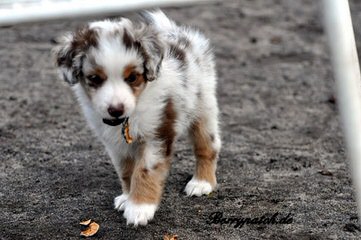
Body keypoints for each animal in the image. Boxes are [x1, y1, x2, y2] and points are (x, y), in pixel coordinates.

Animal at [52, 10, 219, 226]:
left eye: (132, 77)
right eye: (95, 79)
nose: (116, 109)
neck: (129, 117)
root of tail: (179, 34)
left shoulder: (157, 133)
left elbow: (144, 171)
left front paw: (139, 208)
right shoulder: (115, 144)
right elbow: (126, 171)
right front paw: (127, 198)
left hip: (203, 108)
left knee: (207, 146)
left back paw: (201, 183)